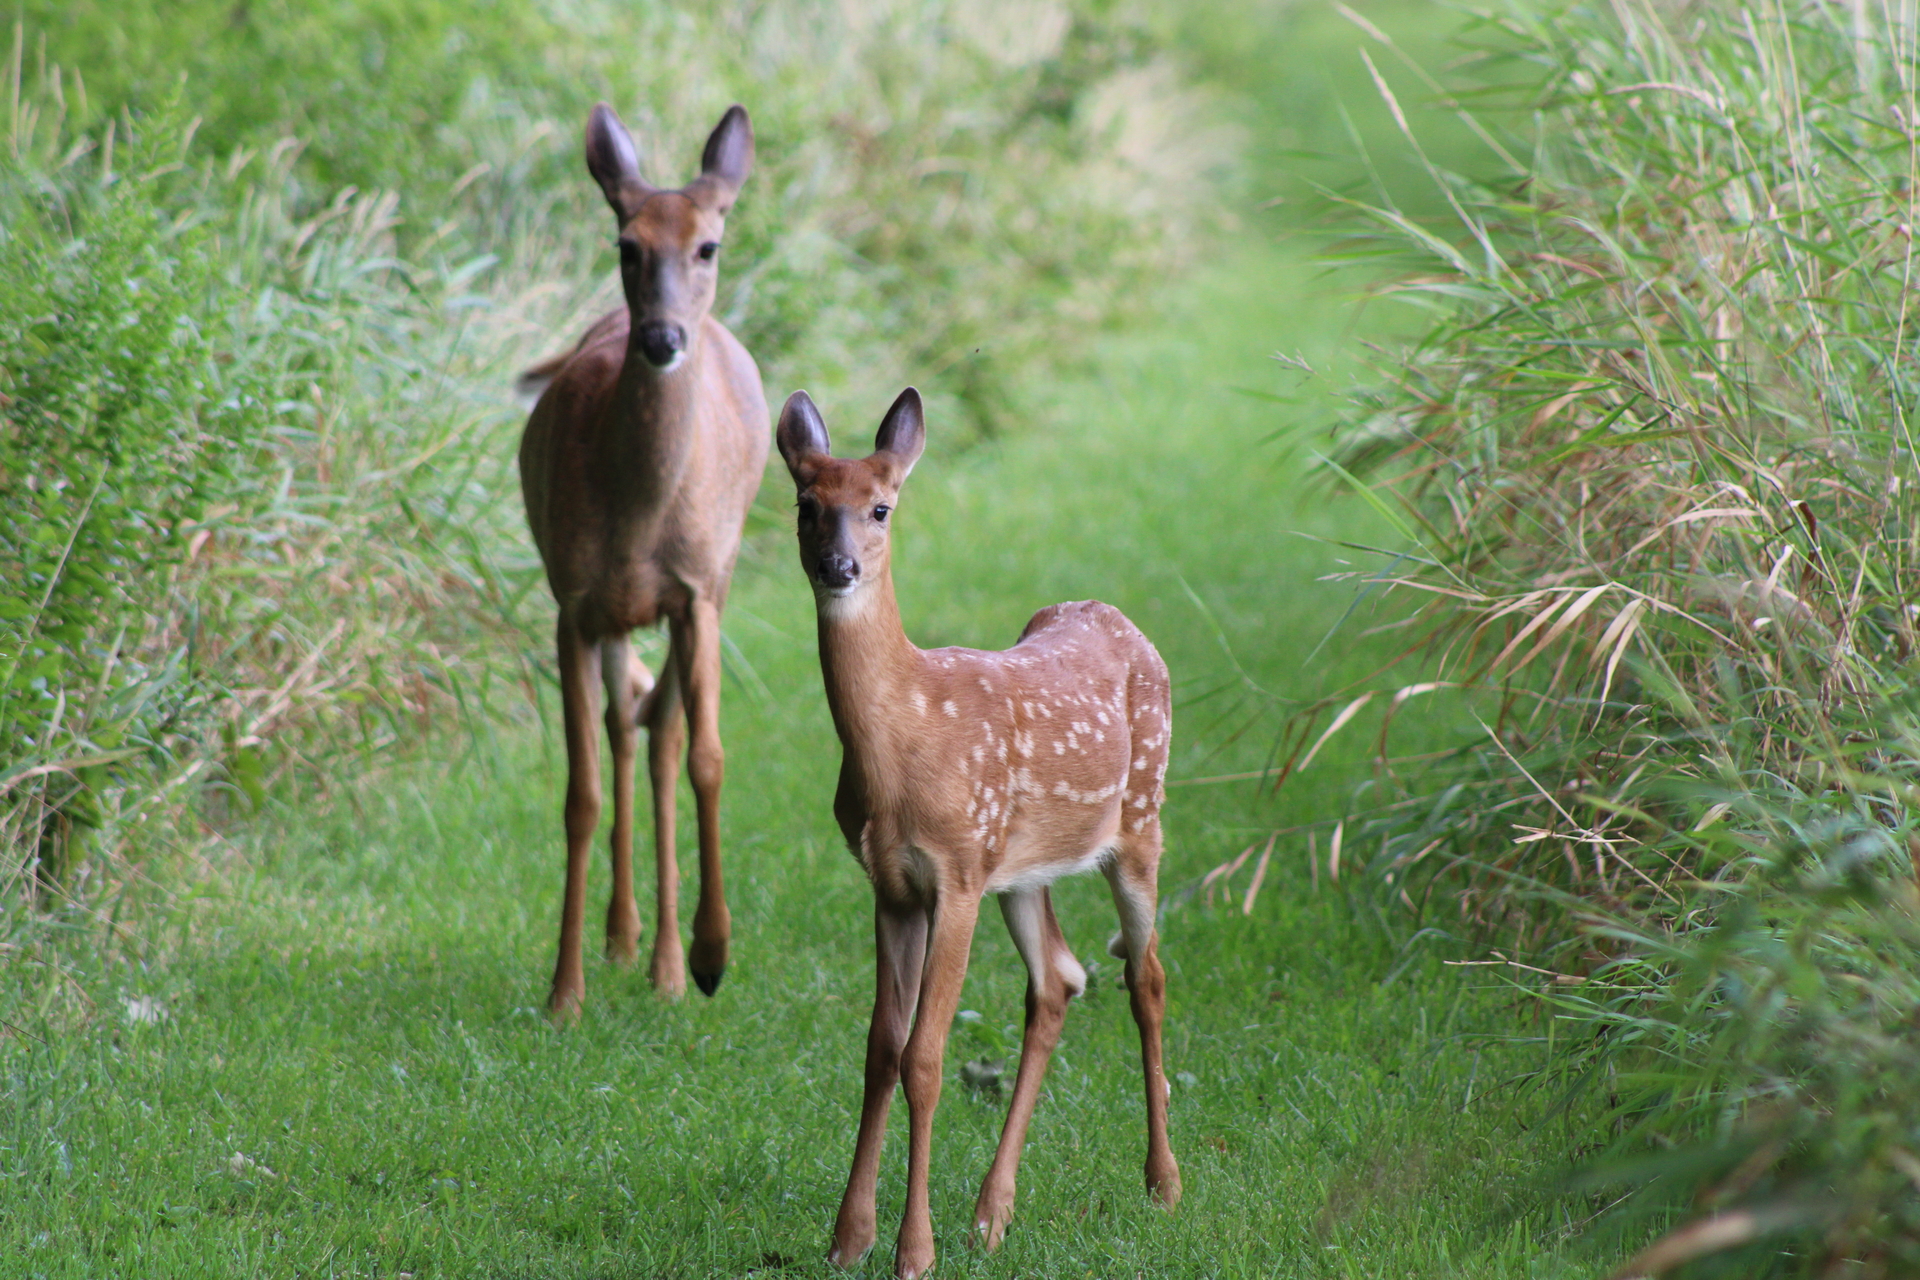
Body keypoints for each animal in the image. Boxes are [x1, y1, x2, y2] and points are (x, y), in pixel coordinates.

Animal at [526, 100, 771, 1020]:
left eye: (709, 245)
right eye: (626, 245)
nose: (664, 337)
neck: (635, 515)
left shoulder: (694, 593)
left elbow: (706, 757)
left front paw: (711, 953)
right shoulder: (572, 603)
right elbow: (582, 792)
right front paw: (564, 992)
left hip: (716, 584)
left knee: (661, 731)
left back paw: (668, 962)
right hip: (617, 616)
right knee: (624, 729)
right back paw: (624, 936)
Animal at [771, 385, 1175, 1274]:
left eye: (881, 507)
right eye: (807, 506)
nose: (838, 567)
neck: (905, 742)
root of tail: (1123, 620)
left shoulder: (954, 871)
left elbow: (925, 1057)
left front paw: (911, 1250)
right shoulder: (891, 884)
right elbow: (880, 1049)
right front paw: (848, 1237)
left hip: (1139, 821)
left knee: (1146, 978)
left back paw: (1162, 1181)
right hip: (1021, 871)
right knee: (1059, 979)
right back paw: (993, 1213)